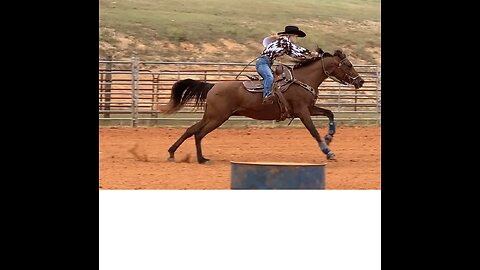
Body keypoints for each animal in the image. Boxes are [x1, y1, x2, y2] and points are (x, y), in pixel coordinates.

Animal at [161, 47, 364, 163]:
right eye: (348, 65)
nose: (360, 81)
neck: (303, 79)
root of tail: (213, 86)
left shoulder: (310, 109)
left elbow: (330, 113)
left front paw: (329, 137)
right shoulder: (302, 111)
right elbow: (314, 132)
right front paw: (328, 152)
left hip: (211, 116)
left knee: (191, 130)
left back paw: (173, 153)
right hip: (217, 117)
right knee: (199, 133)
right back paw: (201, 159)